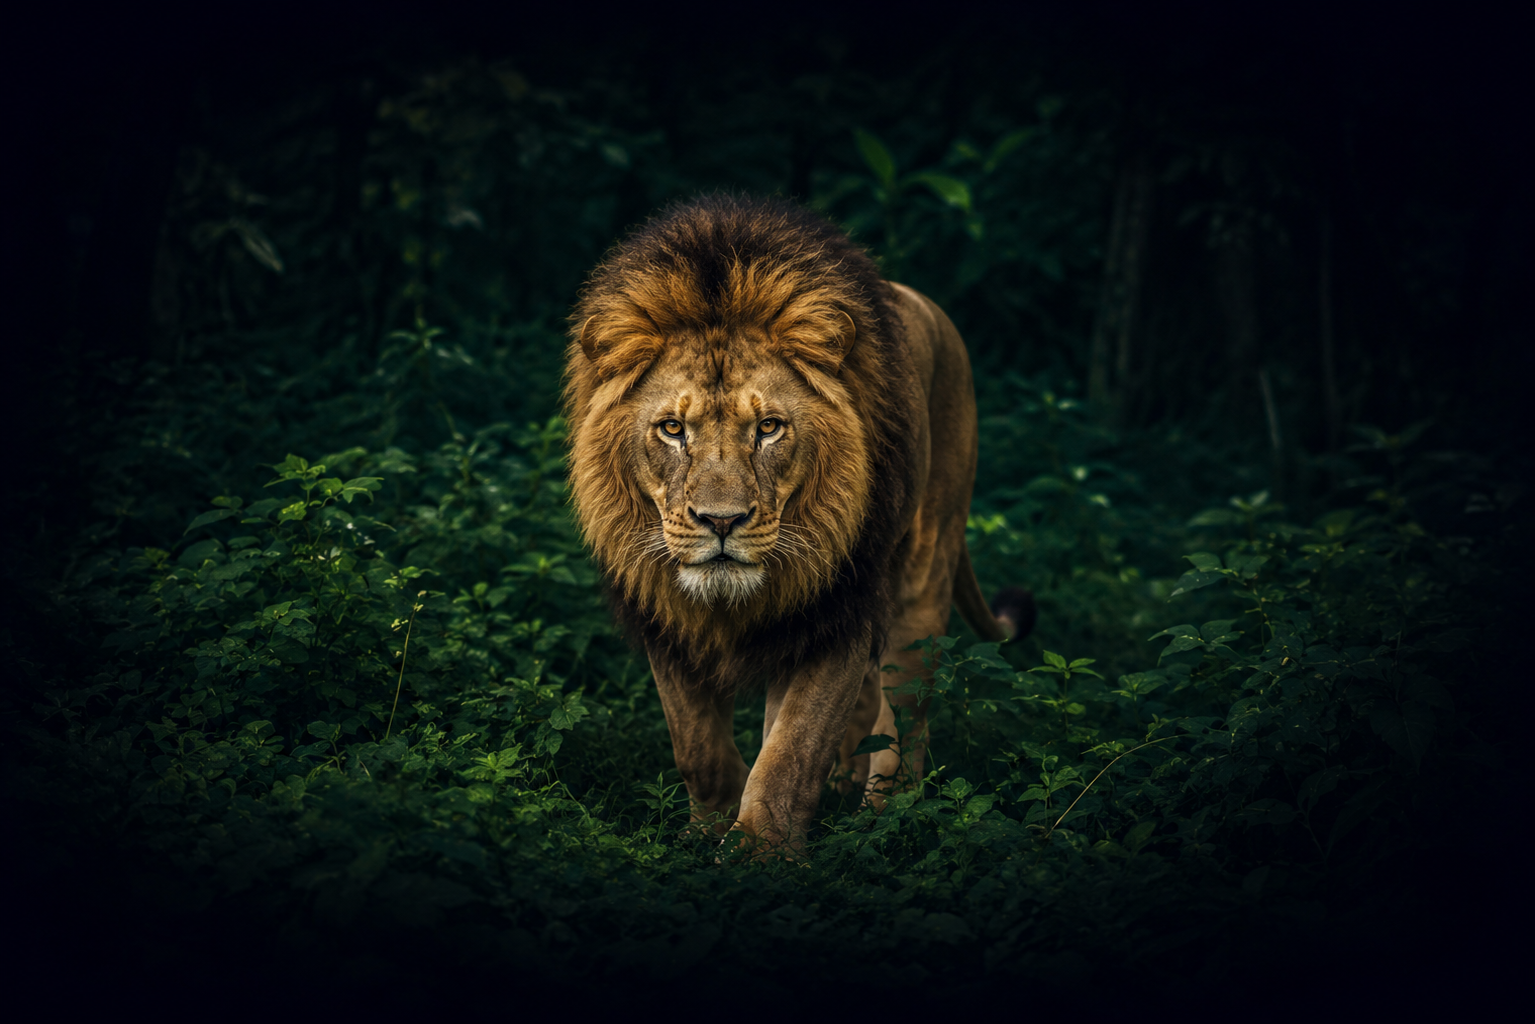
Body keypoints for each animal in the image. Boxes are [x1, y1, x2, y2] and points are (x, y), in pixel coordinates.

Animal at [564, 195, 1034, 849]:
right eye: (672, 429)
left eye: (768, 428)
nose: (721, 522)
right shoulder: (667, 616)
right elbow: (698, 750)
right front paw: (707, 833)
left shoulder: (837, 611)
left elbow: (788, 754)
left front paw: (757, 853)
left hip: (925, 572)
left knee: (907, 713)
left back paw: (886, 820)